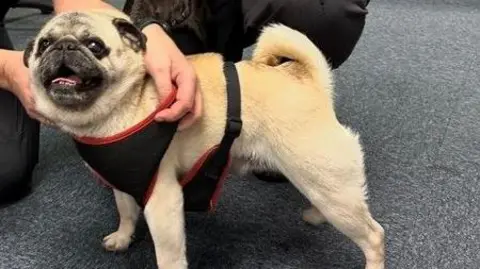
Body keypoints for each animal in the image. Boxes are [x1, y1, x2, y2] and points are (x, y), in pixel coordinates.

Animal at [24, 9, 386, 268]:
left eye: (95, 46)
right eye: (43, 45)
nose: (64, 46)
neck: (119, 107)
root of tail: (308, 81)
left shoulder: (163, 201)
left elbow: (168, 256)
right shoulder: (123, 183)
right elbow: (126, 212)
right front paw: (123, 238)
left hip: (324, 180)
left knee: (373, 236)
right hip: (323, 182)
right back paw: (314, 214)